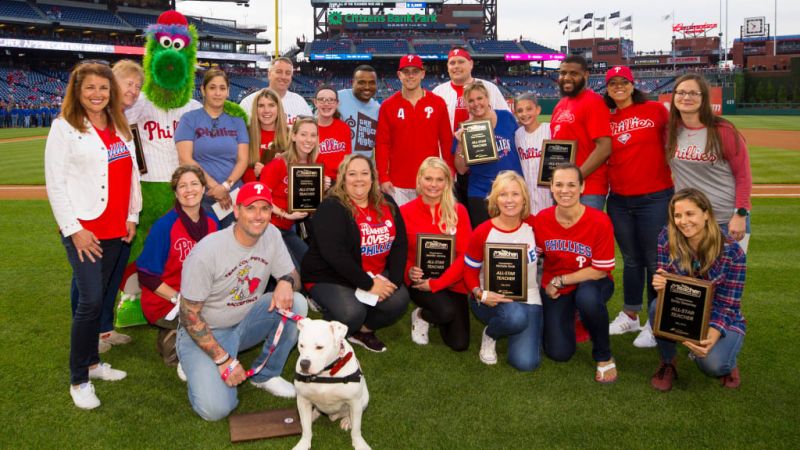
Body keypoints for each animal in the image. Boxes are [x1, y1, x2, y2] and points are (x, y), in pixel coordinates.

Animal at [292, 318, 370, 450]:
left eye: (319, 347)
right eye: (301, 345)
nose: (304, 364)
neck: (326, 373)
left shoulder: (354, 401)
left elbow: (356, 429)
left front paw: (360, 444)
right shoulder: (302, 400)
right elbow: (306, 429)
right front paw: (303, 444)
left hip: (364, 399)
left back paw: (347, 420)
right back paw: (313, 415)